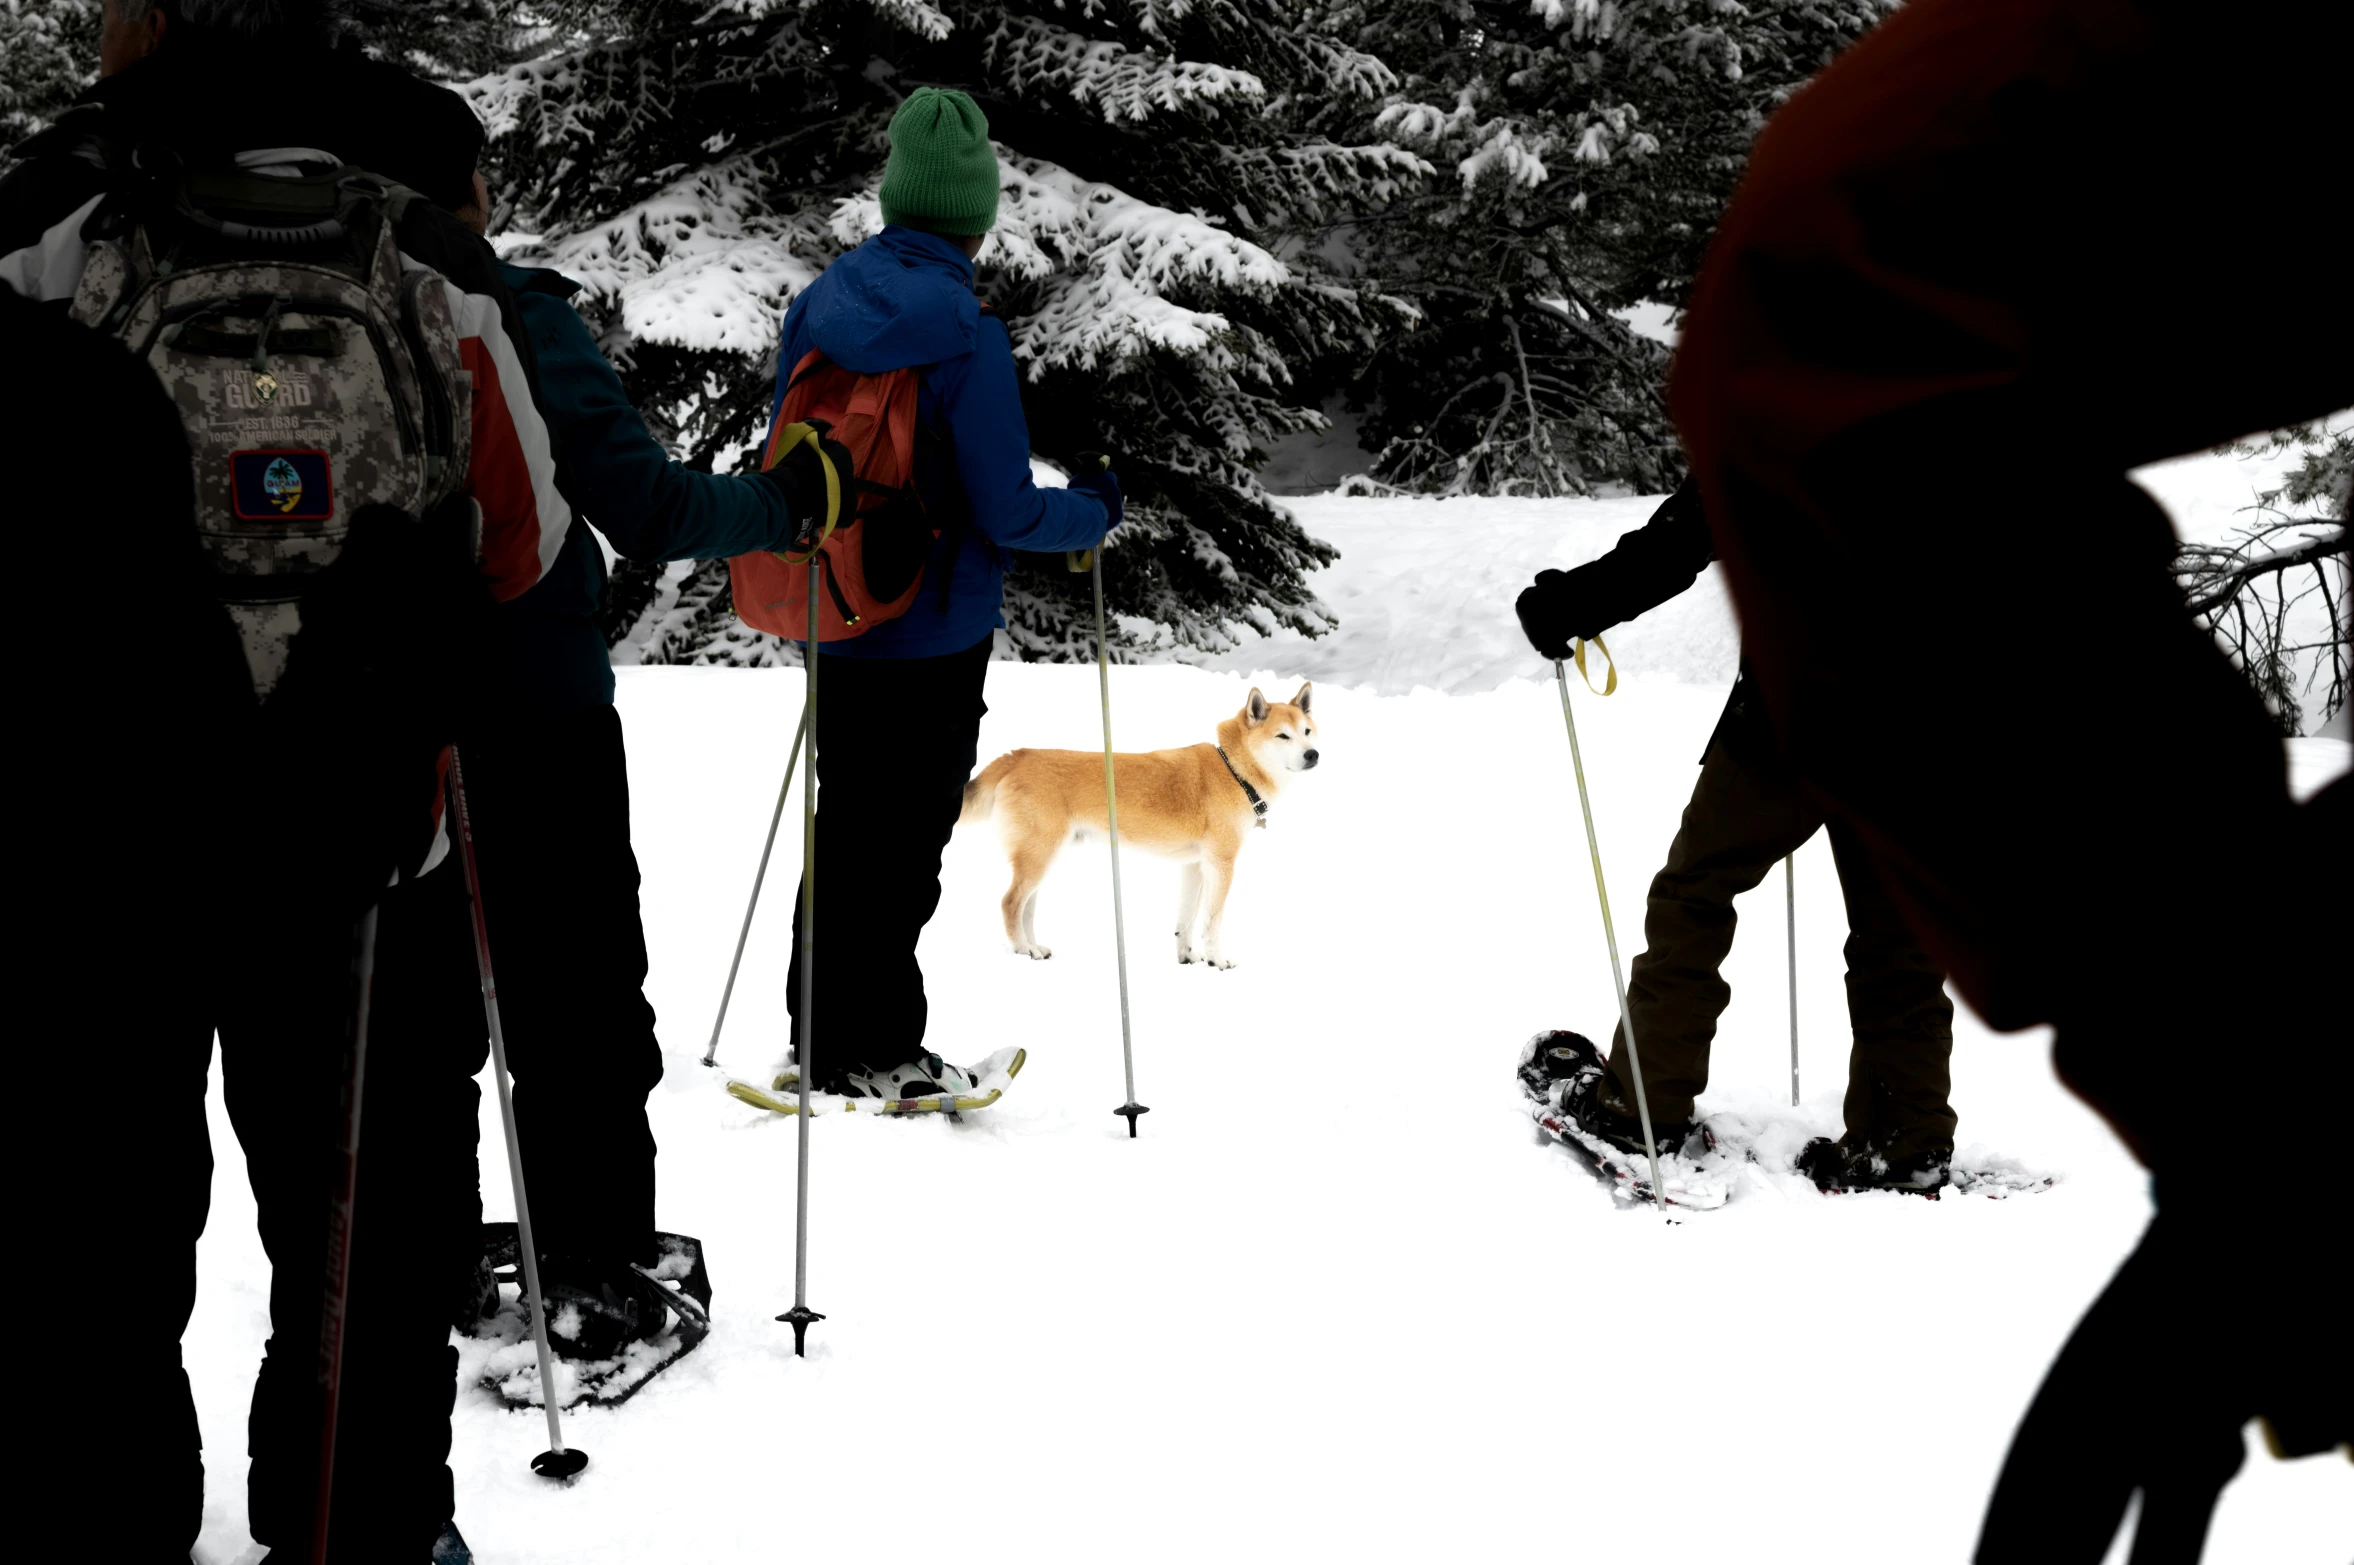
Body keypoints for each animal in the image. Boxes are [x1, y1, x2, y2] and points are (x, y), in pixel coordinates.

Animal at [960, 682, 1327, 964]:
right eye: (1283, 736)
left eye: (1307, 732)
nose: (1313, 755)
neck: (1233, 770)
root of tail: (1016, 756)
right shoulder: (1221, 865)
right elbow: (1211, 922)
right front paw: (1217, 961)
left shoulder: (1195, 866)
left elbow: (1186, 920)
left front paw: (1187, 957)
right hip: (1038, 857)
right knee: (1009, 904)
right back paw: (1023, 950)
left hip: (1043, 859)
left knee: (1026, 908)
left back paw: (1033, 946)